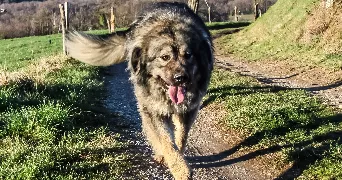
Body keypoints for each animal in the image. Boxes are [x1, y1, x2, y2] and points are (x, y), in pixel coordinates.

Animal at [65, 2, 212, 179]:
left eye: (188, 55)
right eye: (165, 57)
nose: (181, 78)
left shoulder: (188, 110)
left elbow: (181, 137)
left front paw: (179, 159)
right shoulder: (153, 110)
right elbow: (166, 141)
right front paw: (179, 168)